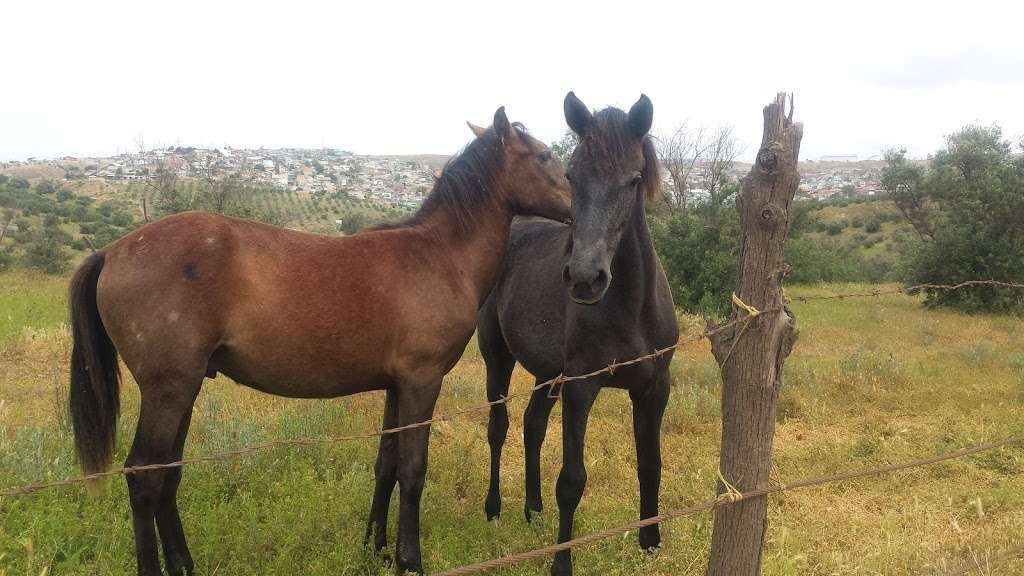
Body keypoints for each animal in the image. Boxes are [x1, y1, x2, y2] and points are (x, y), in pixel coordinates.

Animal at [68, 108, 573, 573]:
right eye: (544, 155)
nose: (577, 206)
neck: (440, 256)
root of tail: (111, 251)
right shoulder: (421, 382)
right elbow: (413, 472)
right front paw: (409, 560)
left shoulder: (396, 387)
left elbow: (387, 465)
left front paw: (375, 548)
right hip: (168, 392)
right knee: (144, 478)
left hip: (183, 392)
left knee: (167, 474)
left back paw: (184, 564)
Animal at [479, 91, 679, 569]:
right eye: (572, 175)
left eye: (634, 179)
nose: (585, 278)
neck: (629, 311)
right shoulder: (581, 387)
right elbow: (571, 480)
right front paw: (561, 562)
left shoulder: (654, 387)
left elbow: (651, 464)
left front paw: (650, 541)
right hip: (498, 360)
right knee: (499, 427)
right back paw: (494, 508)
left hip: (547, 374)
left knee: (532, 425)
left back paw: (533, 511)